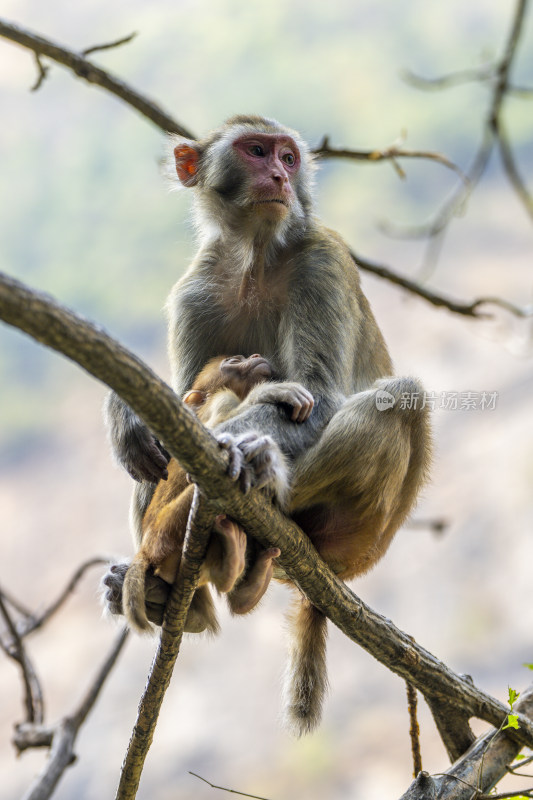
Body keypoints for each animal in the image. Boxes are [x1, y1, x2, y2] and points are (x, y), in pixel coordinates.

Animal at [121, 354, 312, 636]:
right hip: (164, 533)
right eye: (235, 361)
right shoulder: (222, 399)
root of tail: (145, 549)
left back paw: (242, 580)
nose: (255, 356)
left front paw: (267, 463)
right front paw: (268, 392)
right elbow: (214, 436)